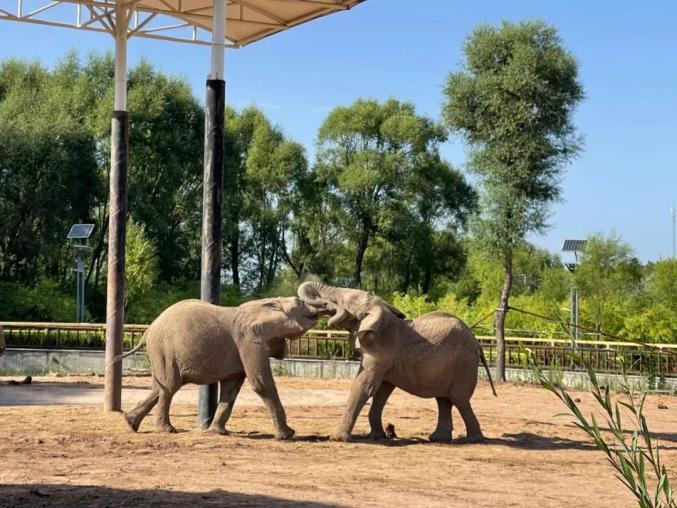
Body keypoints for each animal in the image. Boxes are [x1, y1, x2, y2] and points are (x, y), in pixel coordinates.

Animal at [109, 298, 328, 436]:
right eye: (299, 303)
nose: (326, 305)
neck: (265, 304)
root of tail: (147, 331)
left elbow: (231, 388)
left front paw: (219, 432)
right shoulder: (249, 341)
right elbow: (261, 383)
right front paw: (288, 435)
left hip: (161, 354)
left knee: (159, 387)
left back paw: (130, 423)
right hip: (164, 349)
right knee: (169, 387)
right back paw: (167, 430)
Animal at [296, 282, 496, 444]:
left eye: (343, 300)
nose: (324, 306)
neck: (380, 312)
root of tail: (477, 342)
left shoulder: (380, 352)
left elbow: (364, 385)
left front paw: (337, 438)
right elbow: (382, 390)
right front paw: (376, 436)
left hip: (464, 363)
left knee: (459, 398)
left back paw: (472, 439)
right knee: (444, 399)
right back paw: (438, 438)